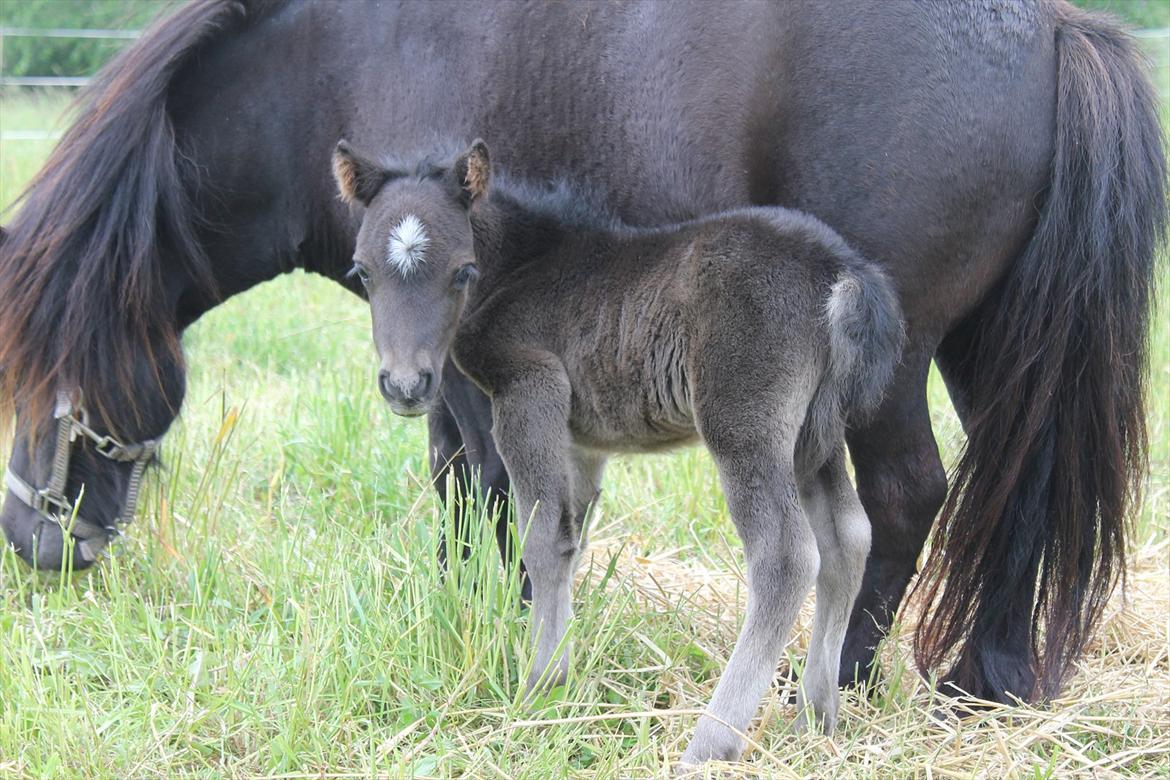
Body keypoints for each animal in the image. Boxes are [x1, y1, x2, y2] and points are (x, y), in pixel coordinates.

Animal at [0, 0, 1160, 706]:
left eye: (43, 366)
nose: (33, 540)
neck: (336, 66)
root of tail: (1050, 31)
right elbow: (462, 488)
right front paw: (470, 616)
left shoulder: (481, 366)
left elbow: (492, 490)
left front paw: (516, 633)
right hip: (988, 350)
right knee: (1021, 490)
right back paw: (988, 680)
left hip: (893, 358)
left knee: (910, 497)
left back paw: (837, 680)